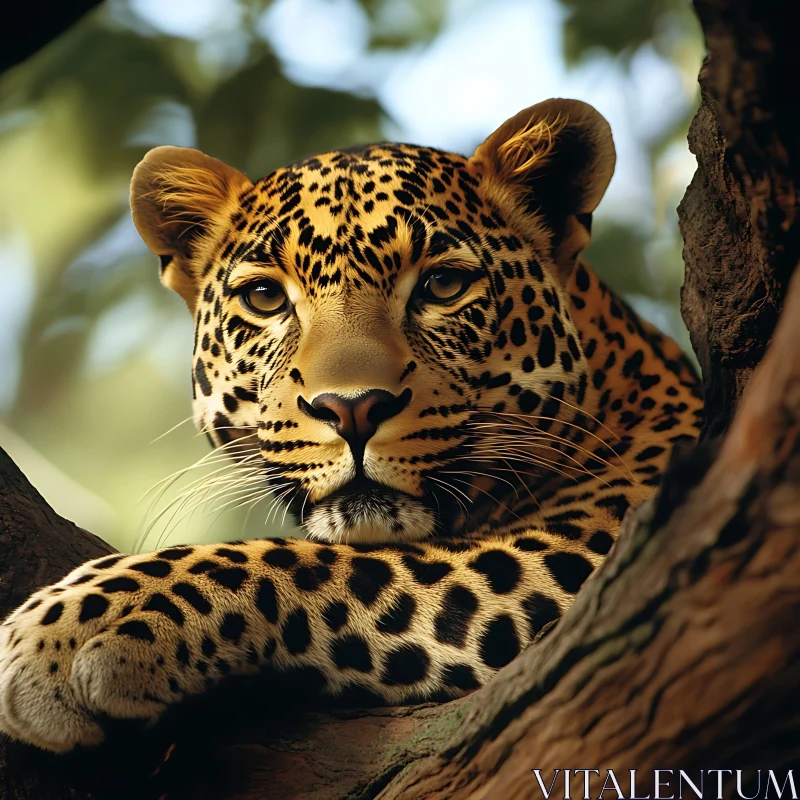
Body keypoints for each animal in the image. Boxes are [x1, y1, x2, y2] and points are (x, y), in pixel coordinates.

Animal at [0, 97, 700, 752]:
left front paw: (79, 623)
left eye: (443, 285)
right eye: (265, 299)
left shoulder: (583, 555)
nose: (353, 408)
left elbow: (310, 559)